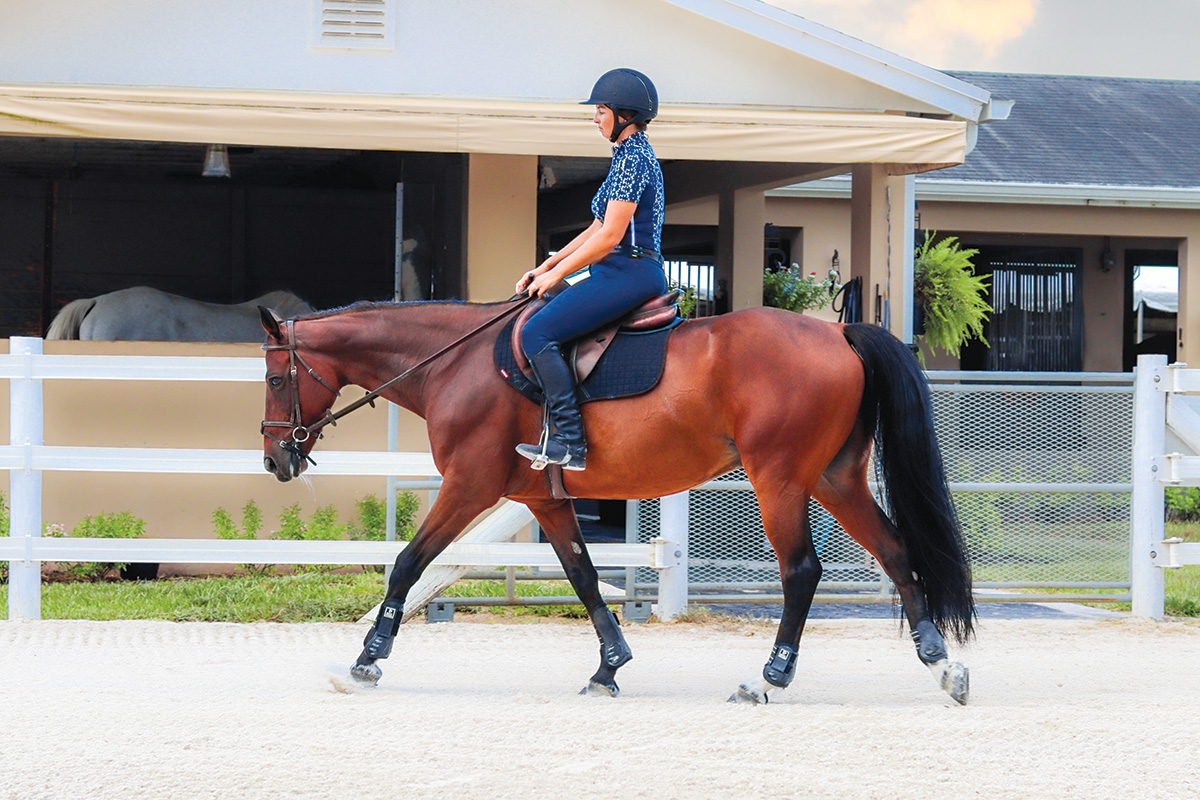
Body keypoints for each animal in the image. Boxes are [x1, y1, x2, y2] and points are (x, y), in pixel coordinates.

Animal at [258, 299, 969, 705]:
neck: (454, 363)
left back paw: (766, 677)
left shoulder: (468, 487)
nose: (274, 460)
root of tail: (839, 334)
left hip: (781, 480)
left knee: (801, 572)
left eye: (273, 378)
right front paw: (609, 667)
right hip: (834, 478)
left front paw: (365, 662)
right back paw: (941, 664)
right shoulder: (541, 500)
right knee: (896, 550)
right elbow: (583, 575)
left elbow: (409, 564)